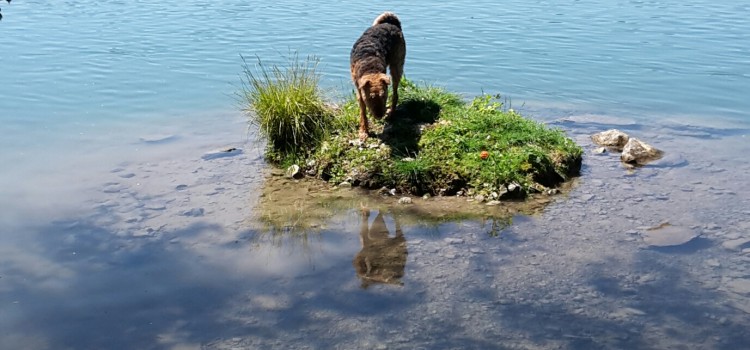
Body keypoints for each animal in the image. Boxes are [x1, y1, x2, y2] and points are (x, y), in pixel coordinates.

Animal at [352, 12, 408, 141]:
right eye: (370, 97)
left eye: (383, 96)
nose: (379, 115)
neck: (370, 67)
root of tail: (391, 24)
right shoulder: (359, 90)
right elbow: (362, 112)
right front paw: (364, 131)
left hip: (396, 67)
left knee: (395, 94)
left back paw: (391, 114)